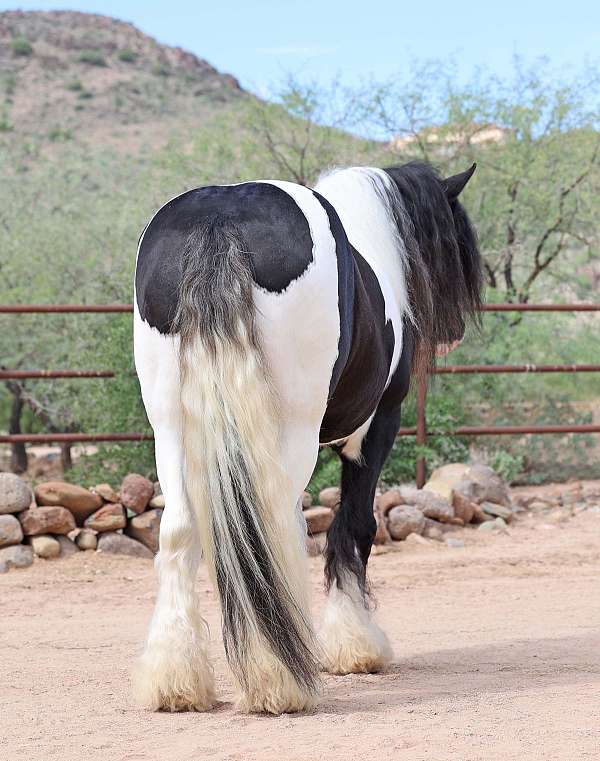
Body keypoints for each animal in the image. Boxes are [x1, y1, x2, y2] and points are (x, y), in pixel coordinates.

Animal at [132, 160, 482, 715]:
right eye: (452, 241)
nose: (453, 332)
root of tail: (221, 216)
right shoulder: (378, 426)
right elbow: (354, 526)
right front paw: (355, 646)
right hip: (291, 426)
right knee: (271, 529)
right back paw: (279, 680)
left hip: (170, 425)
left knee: (181, 531)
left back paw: (176, 680)